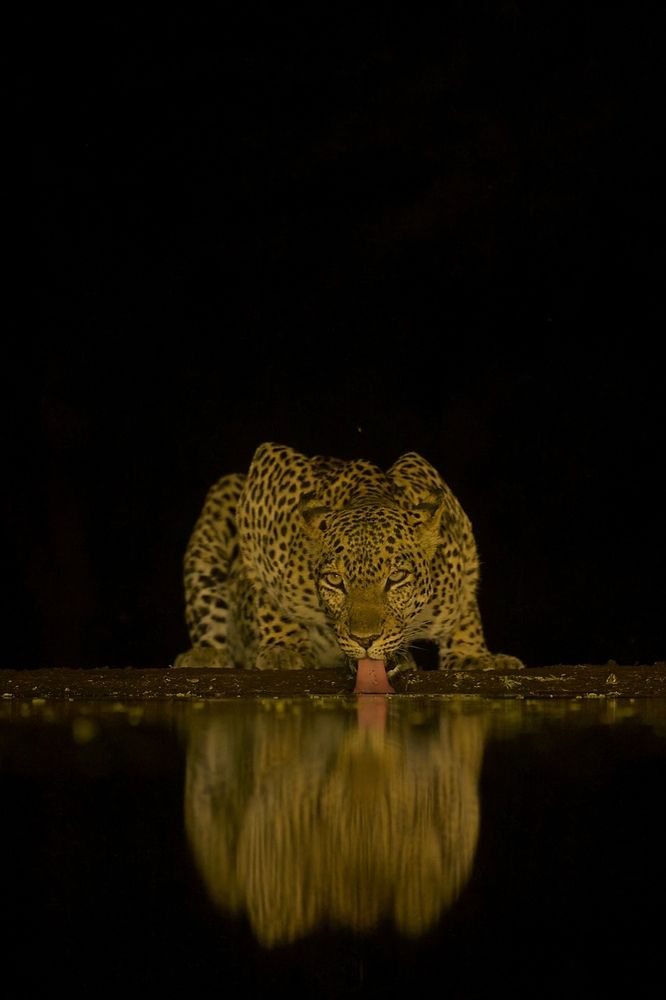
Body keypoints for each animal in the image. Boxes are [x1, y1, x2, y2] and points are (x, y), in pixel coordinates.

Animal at [173, 441, 523, 676]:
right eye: (335, 581)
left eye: (396, 578)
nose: (364, 640)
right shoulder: (264, 490)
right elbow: (271, 594)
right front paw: (285, 649)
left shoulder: (458, 536)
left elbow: (465, 609)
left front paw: (471, 655)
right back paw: (206, 654)